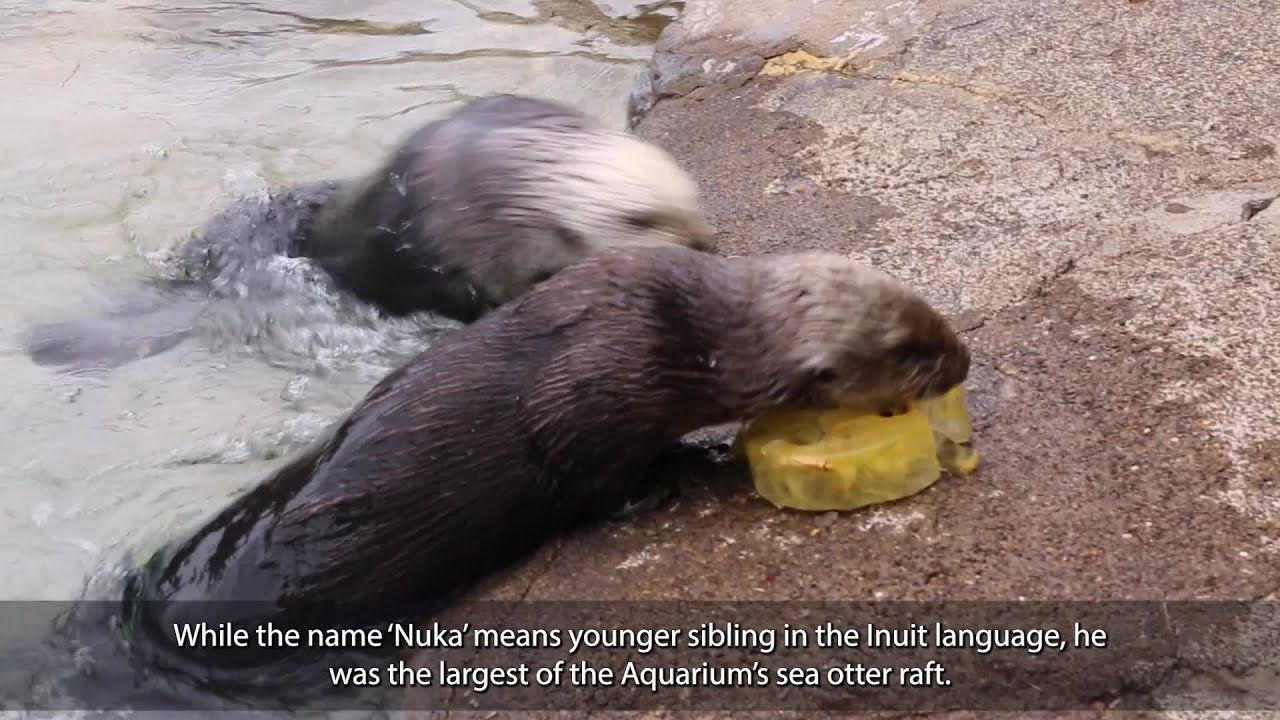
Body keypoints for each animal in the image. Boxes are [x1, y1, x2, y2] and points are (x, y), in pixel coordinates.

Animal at [124, 242, 972, 671]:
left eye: (927, 312)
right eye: (911, 351)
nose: (963, 359)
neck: (680, 333)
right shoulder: (593, 397)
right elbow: (590, 478)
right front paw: (682, 469)